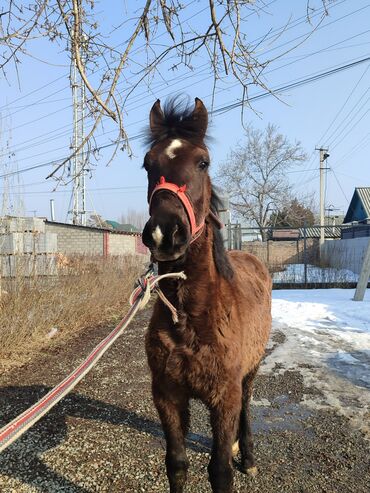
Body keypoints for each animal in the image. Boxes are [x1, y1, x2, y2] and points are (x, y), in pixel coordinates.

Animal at [142, 97, 272, 492]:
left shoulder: (224, 397)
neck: (192, 319)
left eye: (203, 162)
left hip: (250, 372)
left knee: (246, 408)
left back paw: (248, 457)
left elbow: (220, 470)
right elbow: (176, 463)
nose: (164, 233)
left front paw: (236, 460)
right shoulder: (167, 396)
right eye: (147, 163)